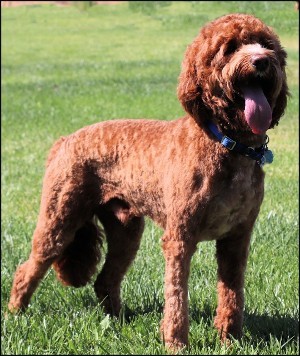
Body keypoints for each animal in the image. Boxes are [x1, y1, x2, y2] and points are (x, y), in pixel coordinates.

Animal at [8, 13, 288, 350]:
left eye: (266, 43)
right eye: (230, 47)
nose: (261, 61)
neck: (226, 142)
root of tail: (64, 141)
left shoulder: (237, 238)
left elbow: (232, 295)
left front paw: (230, 341)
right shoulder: (180, 237)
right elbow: (176, 297)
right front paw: (176, 344)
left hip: (126, 229)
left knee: (105, 279)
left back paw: (117, 321)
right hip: (60, 218)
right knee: (28, 268)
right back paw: (15, 314)